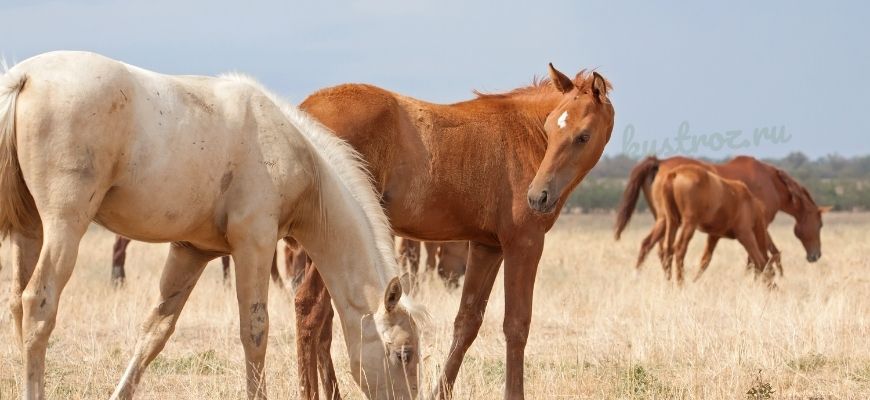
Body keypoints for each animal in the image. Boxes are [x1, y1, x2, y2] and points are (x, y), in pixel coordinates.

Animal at [0, 51, 426, 398]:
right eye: (404, 354)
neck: (297, 156)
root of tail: (24, 77)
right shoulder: (254, 245)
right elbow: (255, 331)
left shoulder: (192, 252)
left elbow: (155, 330)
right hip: (65, 226)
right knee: (38, 305)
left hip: (30, 231)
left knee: (18, 305)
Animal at [296, 64, 616, 398]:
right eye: (551, 128)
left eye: (582, 136)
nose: (537, 197)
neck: (524, 135)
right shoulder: (524, 243)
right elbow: (516, 325)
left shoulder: (488, 247)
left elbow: (467, 322)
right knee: (311, 310)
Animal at [616, 156, 828, 278]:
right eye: (820, 225)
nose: (815, 255)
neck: (771, 183)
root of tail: (659, 163)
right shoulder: (759, 225)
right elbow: (764, 255)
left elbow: (768, 254)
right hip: (668, 221)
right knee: (655, 247)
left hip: (667, 221)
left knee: (654, 247)